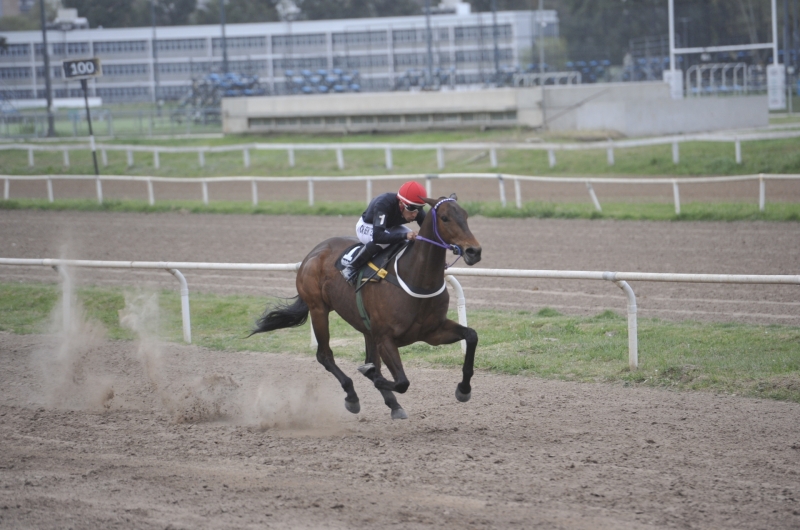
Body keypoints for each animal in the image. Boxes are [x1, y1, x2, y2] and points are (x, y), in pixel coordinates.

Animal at [250, 193, 482, 416]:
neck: (415, 278)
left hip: (366, 327)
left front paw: (464, 389)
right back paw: (352, 396)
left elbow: (471, 335)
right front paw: (370, 376)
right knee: (324, 355)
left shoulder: (432, 332)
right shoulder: (385, 338)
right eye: (445, 218)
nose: (474, 251)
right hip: (318, 309)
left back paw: (392, 404)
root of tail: (313, 253)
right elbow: (401, 381)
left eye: (465, 215)